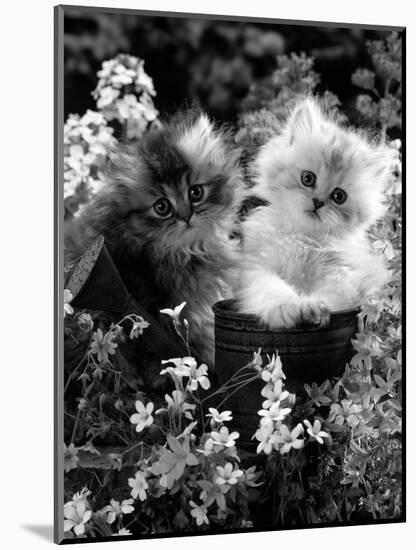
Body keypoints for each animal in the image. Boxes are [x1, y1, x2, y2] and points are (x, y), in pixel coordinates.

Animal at [236, 97, 392, 330]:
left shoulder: (344, 277)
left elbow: (331, 297)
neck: (304, 237)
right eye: (307, 178)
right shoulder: (257, 268)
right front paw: (288, 308)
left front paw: (313, 307)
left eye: (338, 196)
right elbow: (272, 289)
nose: (318, 202)